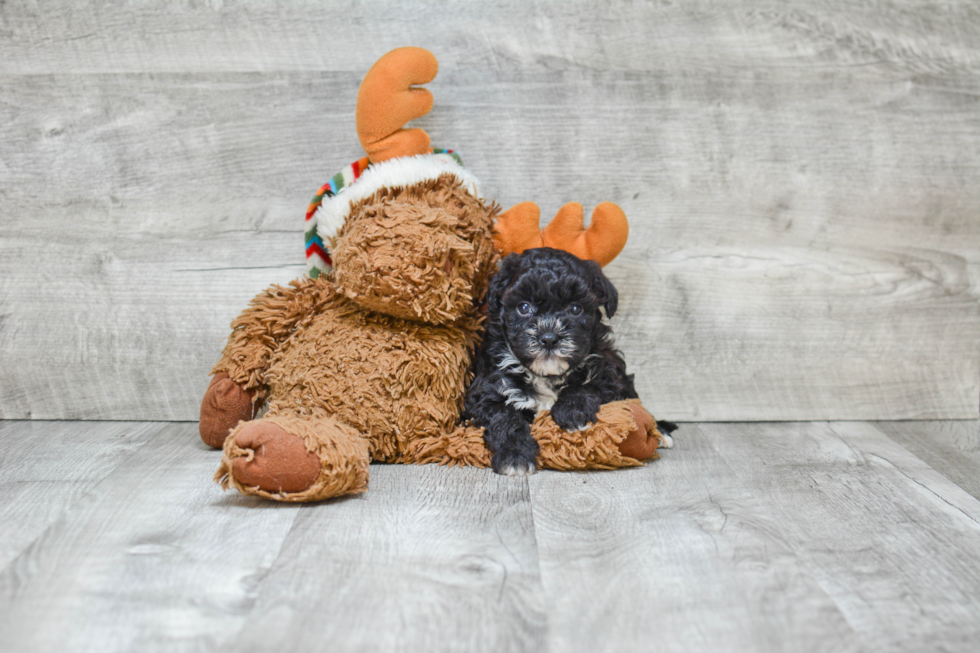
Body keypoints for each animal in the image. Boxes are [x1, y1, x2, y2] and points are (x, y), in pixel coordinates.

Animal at [464, 244, 668, 474]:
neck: (546, 375)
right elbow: (504, 418)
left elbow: (589, 386)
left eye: (575, 308)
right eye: (524, 307)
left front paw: (572, 412)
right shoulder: (488, 389)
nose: (549, 338)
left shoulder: (608, 372)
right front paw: (514, 456)